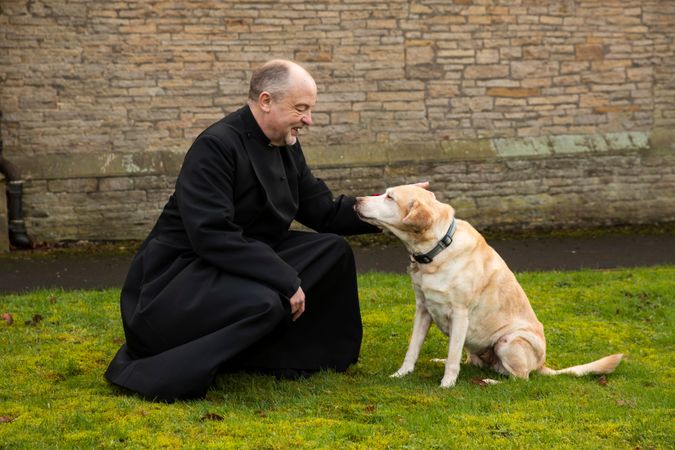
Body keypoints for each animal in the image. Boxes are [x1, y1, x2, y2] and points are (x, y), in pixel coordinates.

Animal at [354, 185, 624, 388]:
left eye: (389, 197)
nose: (356, 199)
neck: (438, 248)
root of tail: (542, 365)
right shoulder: (422, 309)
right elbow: (413, 348)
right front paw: (402, 374)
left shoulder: (460, 313)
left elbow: (453, 358)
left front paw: (446, 385)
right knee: (473, 361)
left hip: (509, 341)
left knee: (519, 378)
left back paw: (490, 382)